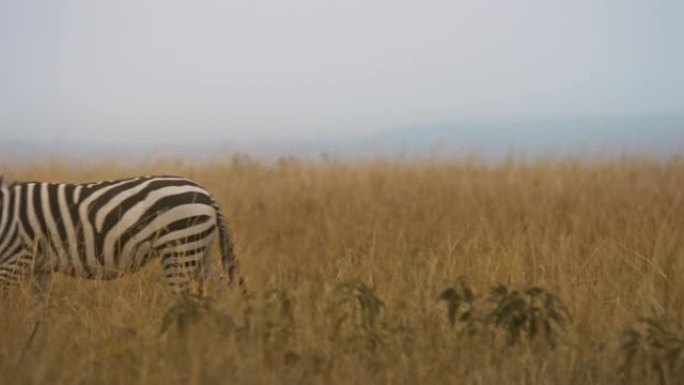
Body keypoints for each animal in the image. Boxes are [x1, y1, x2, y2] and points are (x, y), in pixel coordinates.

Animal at [0, 176, 243, 296]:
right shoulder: (38, 267)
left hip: (180, 248)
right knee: (216, 290)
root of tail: (206, 193)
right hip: (200, 249)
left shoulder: (12, 262)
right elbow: (41, 306)